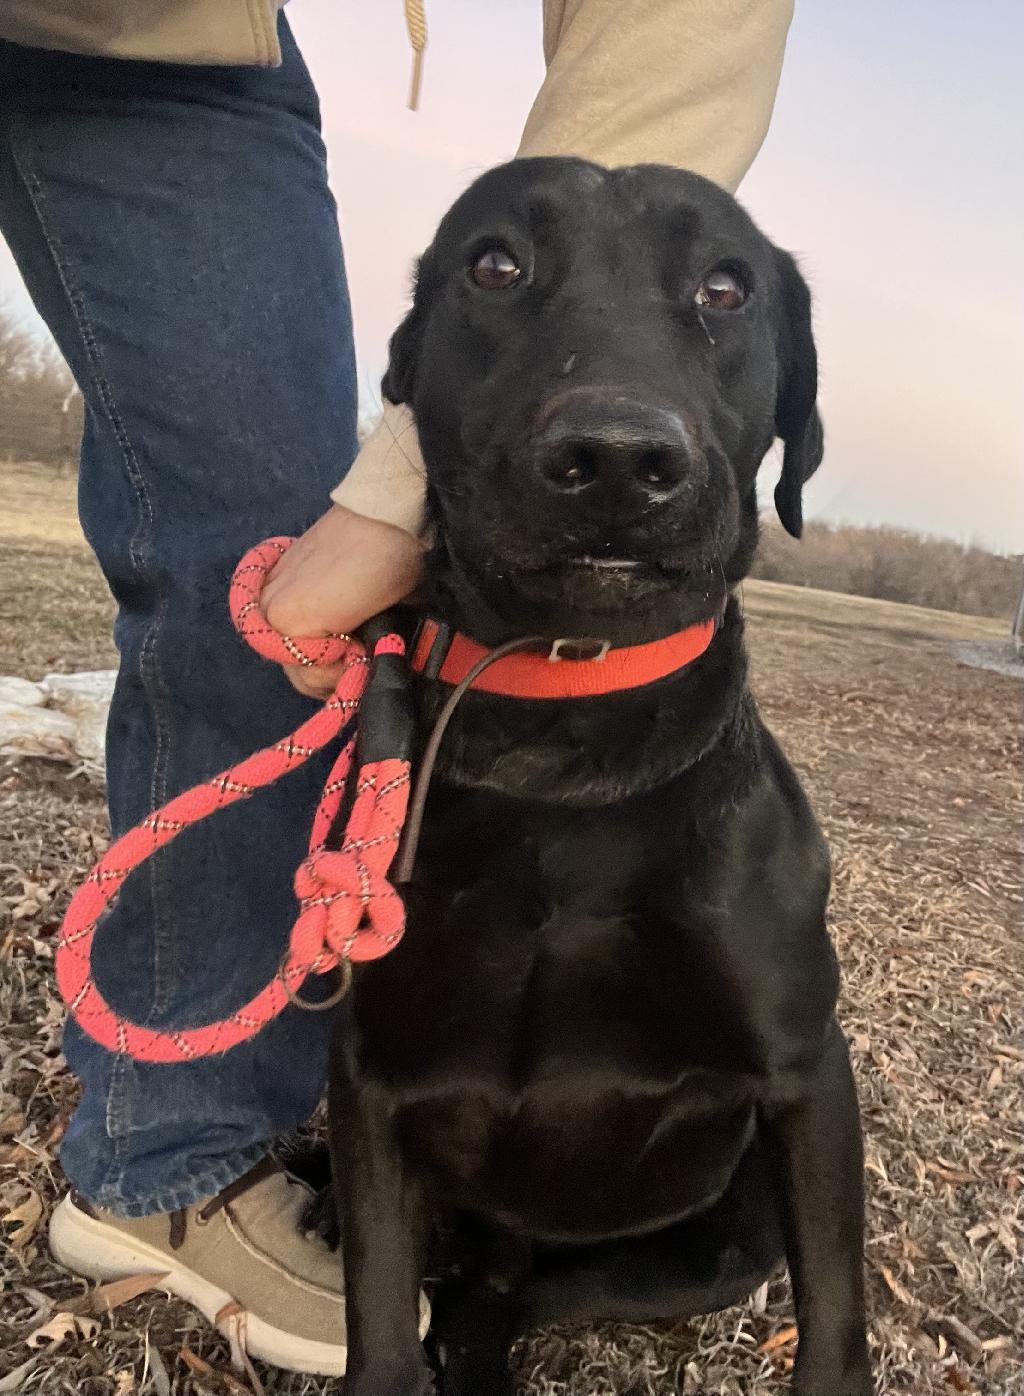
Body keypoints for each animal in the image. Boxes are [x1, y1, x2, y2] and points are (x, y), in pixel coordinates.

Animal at [329, 163, 876, 1396]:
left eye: (726, 286)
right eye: (495, 264)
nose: (619, 458)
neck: (570, 724)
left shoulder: (805, 1073)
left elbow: (834, 1321)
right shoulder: (373, 1086)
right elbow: (382, 1333)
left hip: (711, 1241)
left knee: (506, 1303)